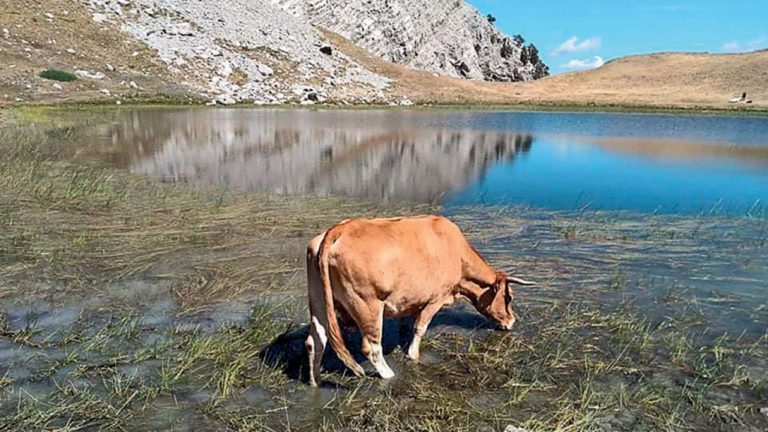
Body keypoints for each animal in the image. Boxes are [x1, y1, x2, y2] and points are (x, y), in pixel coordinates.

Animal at [304, 214, 536, 386]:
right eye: (509, 297)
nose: (511, 321)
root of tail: (340, 229)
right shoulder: (435, 299)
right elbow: (419, 328)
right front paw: (413, 355)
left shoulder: (410, 300)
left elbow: (406, 324)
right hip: (367, 305)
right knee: (371, 347)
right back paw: (388, 374)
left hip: (319, 301)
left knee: (315, 340)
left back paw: (315, 381)